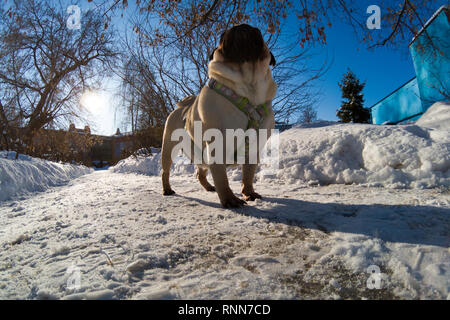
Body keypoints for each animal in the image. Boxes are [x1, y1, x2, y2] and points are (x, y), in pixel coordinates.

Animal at [160, 23, 276, 208]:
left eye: (257, 31)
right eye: (222, 35)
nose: (242, 26)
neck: (248, 85)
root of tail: (181, 107)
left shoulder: (254, 147)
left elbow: (248, 174)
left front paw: (249, 193)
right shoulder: (217, 143)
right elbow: (222, 177)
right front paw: (229, 199)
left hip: (200, 153)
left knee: (200, 172)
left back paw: (209, 187)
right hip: (169, 147)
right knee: (165, 171)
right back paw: (167, 190)